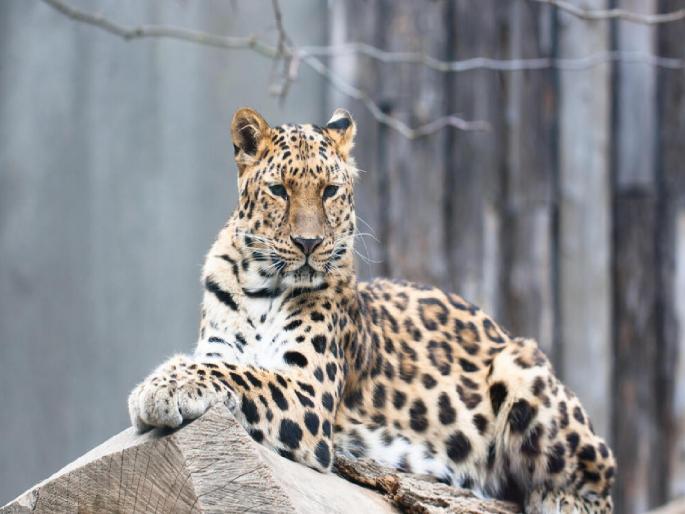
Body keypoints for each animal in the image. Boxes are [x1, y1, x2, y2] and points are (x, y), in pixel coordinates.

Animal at [128, 107, 615, 513]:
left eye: (329, 191)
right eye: (279, 190)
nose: (309, 243)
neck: (261, 288)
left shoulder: (309, 391)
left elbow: (240, 374)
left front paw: (159, 387)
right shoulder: (222, 348)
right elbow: (223, 364)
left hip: (521, 367)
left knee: (603, 473)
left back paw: (560, 499)